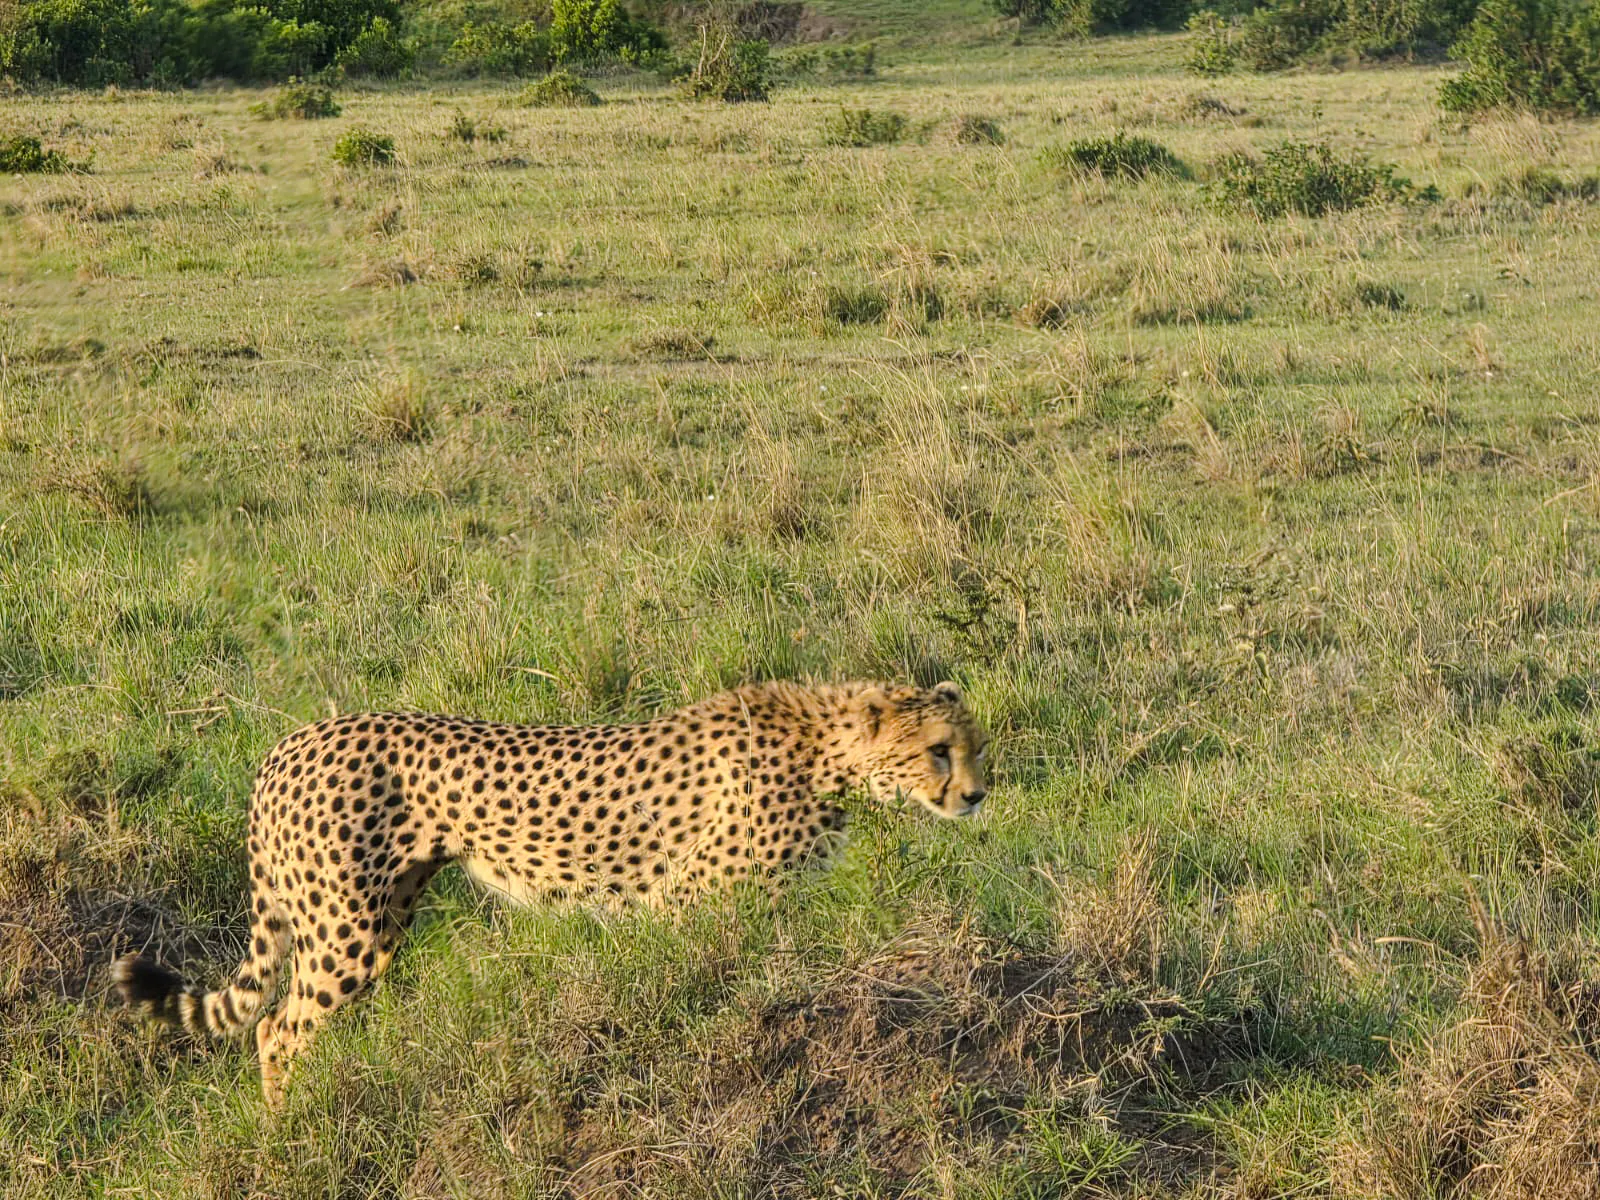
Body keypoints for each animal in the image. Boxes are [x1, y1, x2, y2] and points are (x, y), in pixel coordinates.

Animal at [112, 679, 989, 1105]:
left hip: (381, 914)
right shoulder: (691, 900)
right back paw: (285, 1134)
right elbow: (711, 990)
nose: (978, 795)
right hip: (345, 929)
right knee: (279, 1031)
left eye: (975, 746)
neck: (824, 752)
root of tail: (289, 742)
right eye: (938, 751)